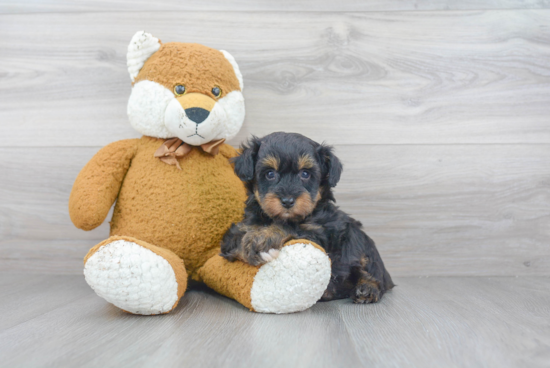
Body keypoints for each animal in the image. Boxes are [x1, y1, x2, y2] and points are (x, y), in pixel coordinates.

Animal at [222, 132, 394, 302]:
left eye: (305, 174)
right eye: (270, 174)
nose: (287, 201)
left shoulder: (322, 234)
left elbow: (290, 227)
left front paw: (264, 236)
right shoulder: (237, 232)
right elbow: (235, 241)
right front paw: (254, 241)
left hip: (362, 244)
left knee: (374, 272)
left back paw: (367, 288)